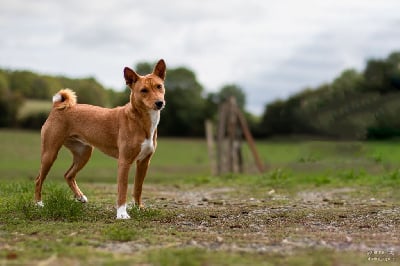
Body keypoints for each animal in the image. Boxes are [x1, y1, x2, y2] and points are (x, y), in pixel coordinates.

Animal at [34, 59, 166, 219]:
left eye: (159, 86)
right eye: (144, 90)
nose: (159, 103)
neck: (142, 121)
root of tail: (56, 107)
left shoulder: (144, 162)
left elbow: (138, 188)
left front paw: (139, 208)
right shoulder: (124, 161)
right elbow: (122, 189)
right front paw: (122, 213)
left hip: (84, 153)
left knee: (68, 175)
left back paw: (80, 197)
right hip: (50, 153)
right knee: (39, 179)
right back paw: (38, 204)